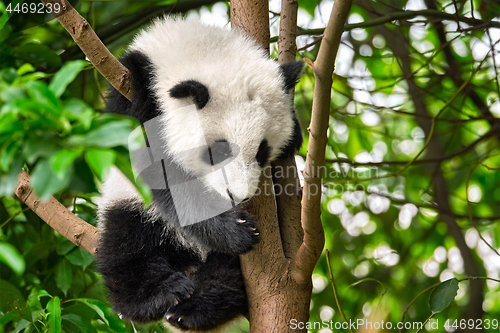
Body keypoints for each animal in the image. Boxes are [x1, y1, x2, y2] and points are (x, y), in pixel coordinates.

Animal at [95, 16, 302, 330]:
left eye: (262, 151)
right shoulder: (133, 93)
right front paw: (232, 229)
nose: (237, 196)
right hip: (128, 207)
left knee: (226, 272)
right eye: (219, 150)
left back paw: (197, 306)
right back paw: (162, 294)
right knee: (126, 247)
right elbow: (161, 175)